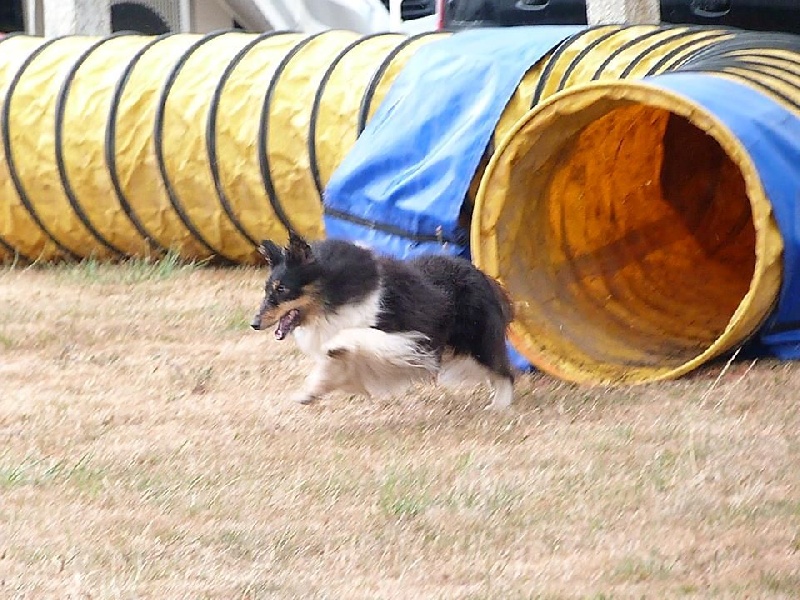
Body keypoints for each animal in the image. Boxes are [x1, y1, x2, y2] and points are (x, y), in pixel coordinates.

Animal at [248, 232, 512, 410]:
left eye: (282, 288)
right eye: (267, 289)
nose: (254, 324)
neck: (334, 294)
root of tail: (479, 272)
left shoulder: (408, 340)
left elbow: (358, 335)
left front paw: (335, 343)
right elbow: (328, 370)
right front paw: (307, 394)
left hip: (477, 341)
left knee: (504, 371)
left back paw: (499, 405)